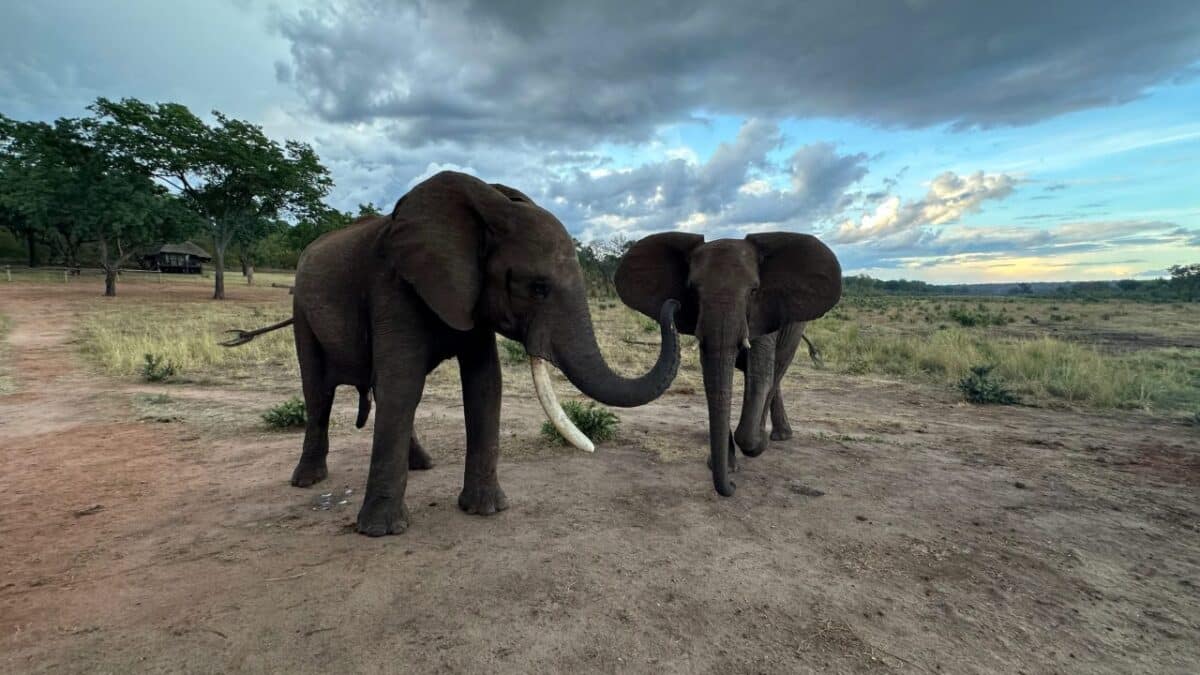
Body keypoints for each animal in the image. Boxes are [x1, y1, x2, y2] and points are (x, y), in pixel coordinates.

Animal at [220, 170, 681, 533]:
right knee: (319, 392)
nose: (674, 304)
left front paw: (486, 510)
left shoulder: (472, 296)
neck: (488, 208)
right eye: (537, 288)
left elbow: (484, 383)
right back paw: (308, 481)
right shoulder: (393, 284)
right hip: (301, 308)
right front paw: (380, 532)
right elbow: (405, 384)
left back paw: (421, 465)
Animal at [614, 230, 840, 494]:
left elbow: (760, 377)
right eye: (692, 291)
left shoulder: (762, 316)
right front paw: (725, 466)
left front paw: (756, 444)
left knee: (778, 370)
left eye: (754, 291)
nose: (731, 486)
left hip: (795, 327)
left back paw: (774, 437)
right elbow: (712, 379)